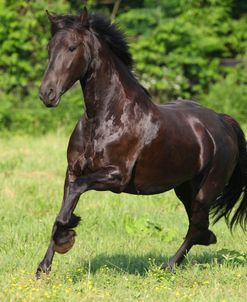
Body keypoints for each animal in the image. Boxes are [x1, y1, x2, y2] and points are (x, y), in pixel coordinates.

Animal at [36, 5, 247, 278]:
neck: (106, 117)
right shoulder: (72, 172)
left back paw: (168, 266)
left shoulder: (116, 176)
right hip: (185, 188)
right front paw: (43, 268)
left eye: (72, 47)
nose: (46, 94)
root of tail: (223, 121)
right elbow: (64, 207)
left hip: (206, 190)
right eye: (49, 47)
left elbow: (68, 206)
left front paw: (67, 237)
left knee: (197, 228)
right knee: (201, 228)